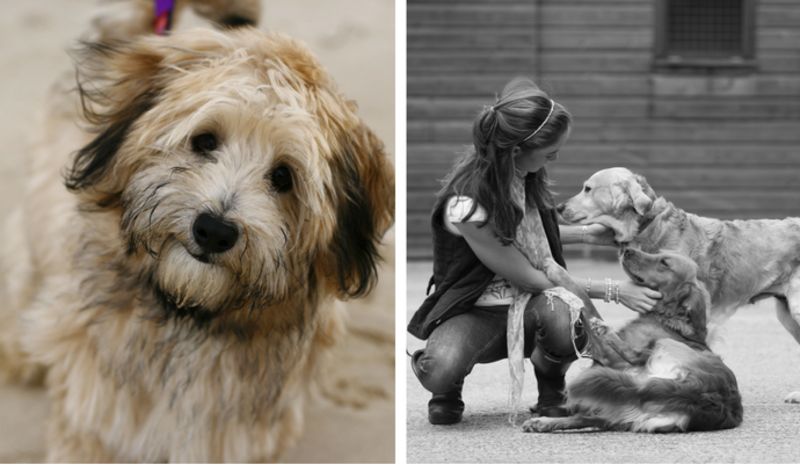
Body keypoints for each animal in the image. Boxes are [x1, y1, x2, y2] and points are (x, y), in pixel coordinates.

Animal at [524, 248, 744, 434]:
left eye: (664, 262)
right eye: (659, 252)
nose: (627, 250)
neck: (669, 316)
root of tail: (700, 395)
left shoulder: (609, 356)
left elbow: (582, 296)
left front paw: (556, 269)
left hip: (662, 345)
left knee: (635, 354)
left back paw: (606, 330)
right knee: (585, 418)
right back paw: (543, 422)